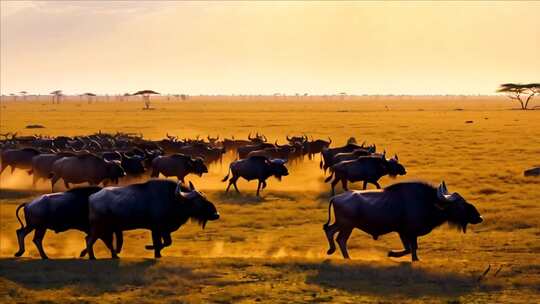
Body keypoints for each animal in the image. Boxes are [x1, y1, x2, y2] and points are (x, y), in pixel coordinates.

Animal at [322, 180, 484, 262]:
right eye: (459, 204)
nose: (479, 217)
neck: (428, 202)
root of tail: (336, 198)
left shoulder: (403, 232)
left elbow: (410, 248)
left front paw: (395, 254)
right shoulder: (409, 232)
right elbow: (412, 248)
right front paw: (397, 255)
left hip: (343, 225)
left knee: (331, 231)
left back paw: (335, 252)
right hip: (347, 226)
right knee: (339, 238)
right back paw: (345, 256)